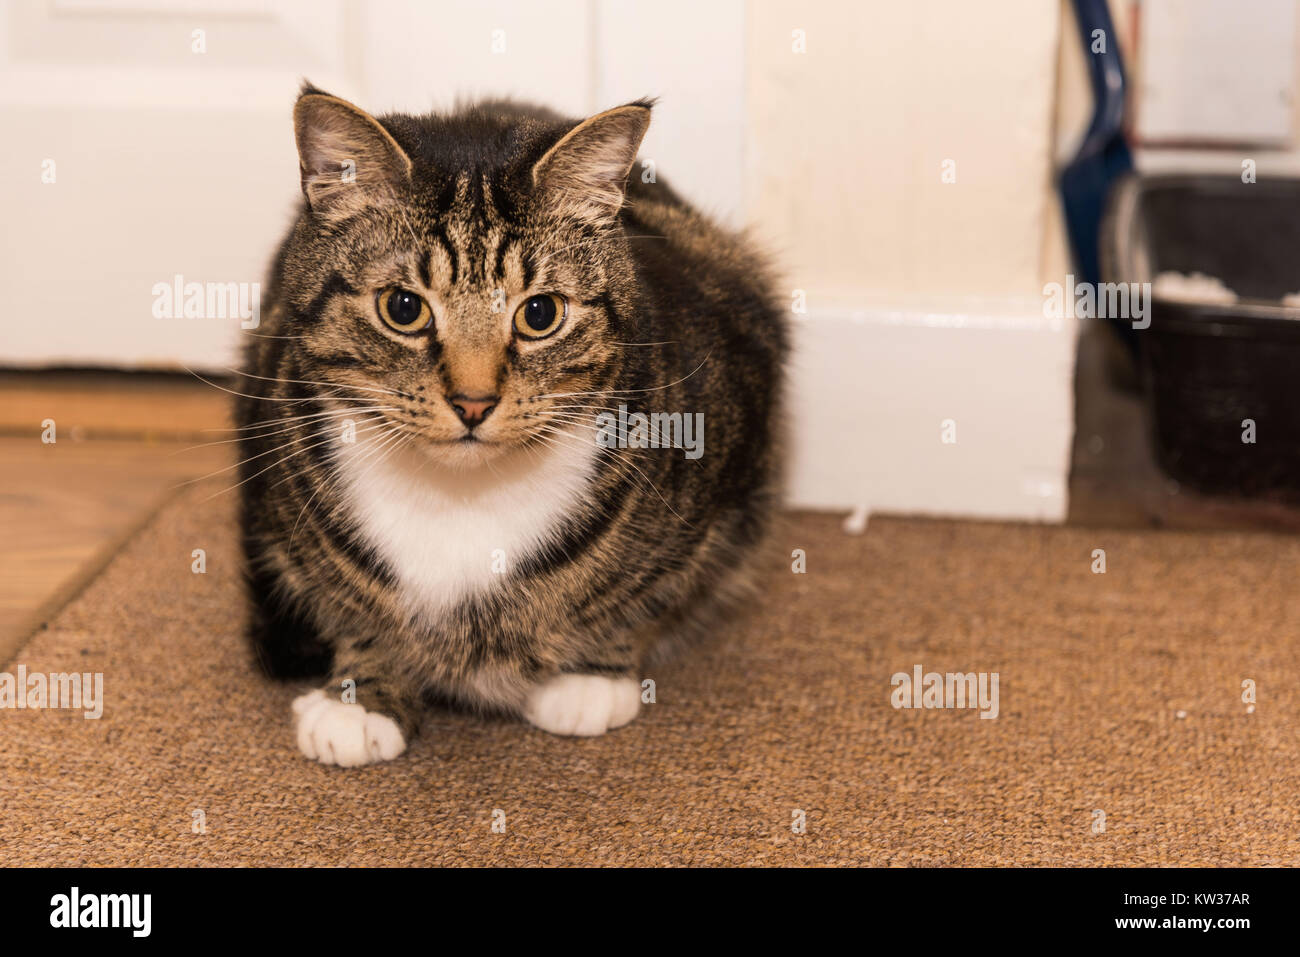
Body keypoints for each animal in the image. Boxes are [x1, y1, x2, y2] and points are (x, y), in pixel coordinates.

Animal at [237, 85, 785, 764]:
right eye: (403, 307)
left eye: (541, 313)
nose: (473, 402)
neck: (464, 497)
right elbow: (346, 605)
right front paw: (361, 696)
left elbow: (644, 598)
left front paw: (590, 676)